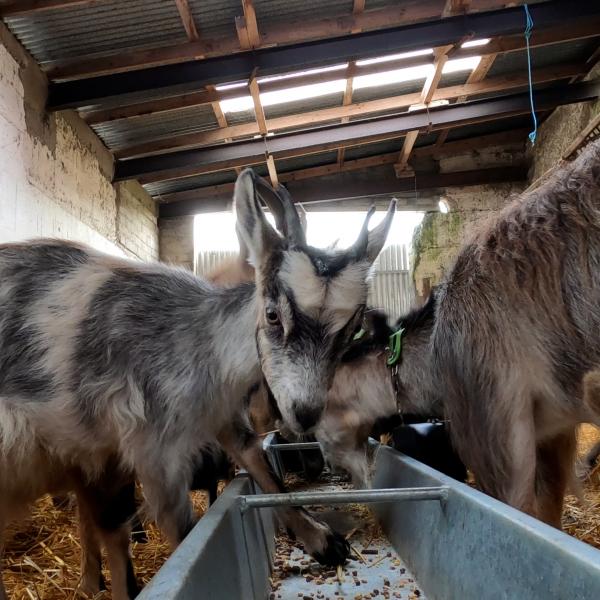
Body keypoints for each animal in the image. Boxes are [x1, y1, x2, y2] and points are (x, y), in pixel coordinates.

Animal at [0, 170, 394, 600]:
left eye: (350, 330)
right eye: (272, 314)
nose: (304, 413)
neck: (201, 343)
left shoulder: (223, 417)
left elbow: (261, 466)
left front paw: (322, 540)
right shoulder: (154, 454)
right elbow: (186, 537)